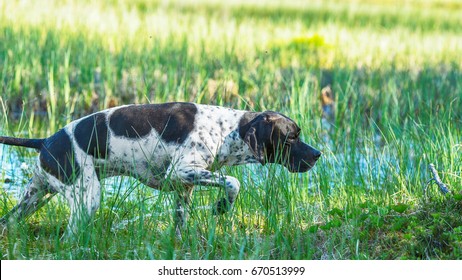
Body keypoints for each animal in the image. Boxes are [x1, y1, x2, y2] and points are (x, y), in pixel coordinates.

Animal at [0, 101, 320, 235]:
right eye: (292, 137)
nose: (318, 155)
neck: (225, 130)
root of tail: (44, 141)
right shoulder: (179, 172)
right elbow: (232, 181)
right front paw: (221, 207)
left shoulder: (184, 188)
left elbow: (179, 224)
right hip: (87, 198)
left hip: (35, 197)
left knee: (8, 222)